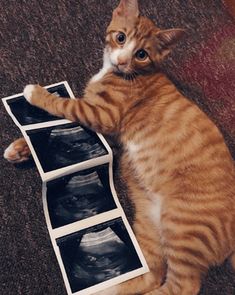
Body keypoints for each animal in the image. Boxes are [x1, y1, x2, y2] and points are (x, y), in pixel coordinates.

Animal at [3, 0, 235, 295]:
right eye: (121, 38)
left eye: (142, 54)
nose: (123, 60)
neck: (124, 74)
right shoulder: (109, 137)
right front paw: (21, 148)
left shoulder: (102, 114)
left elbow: (65, 105)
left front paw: (36, 93)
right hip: (149, 223)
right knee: (151, 274)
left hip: (183, 226)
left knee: (182, 286)